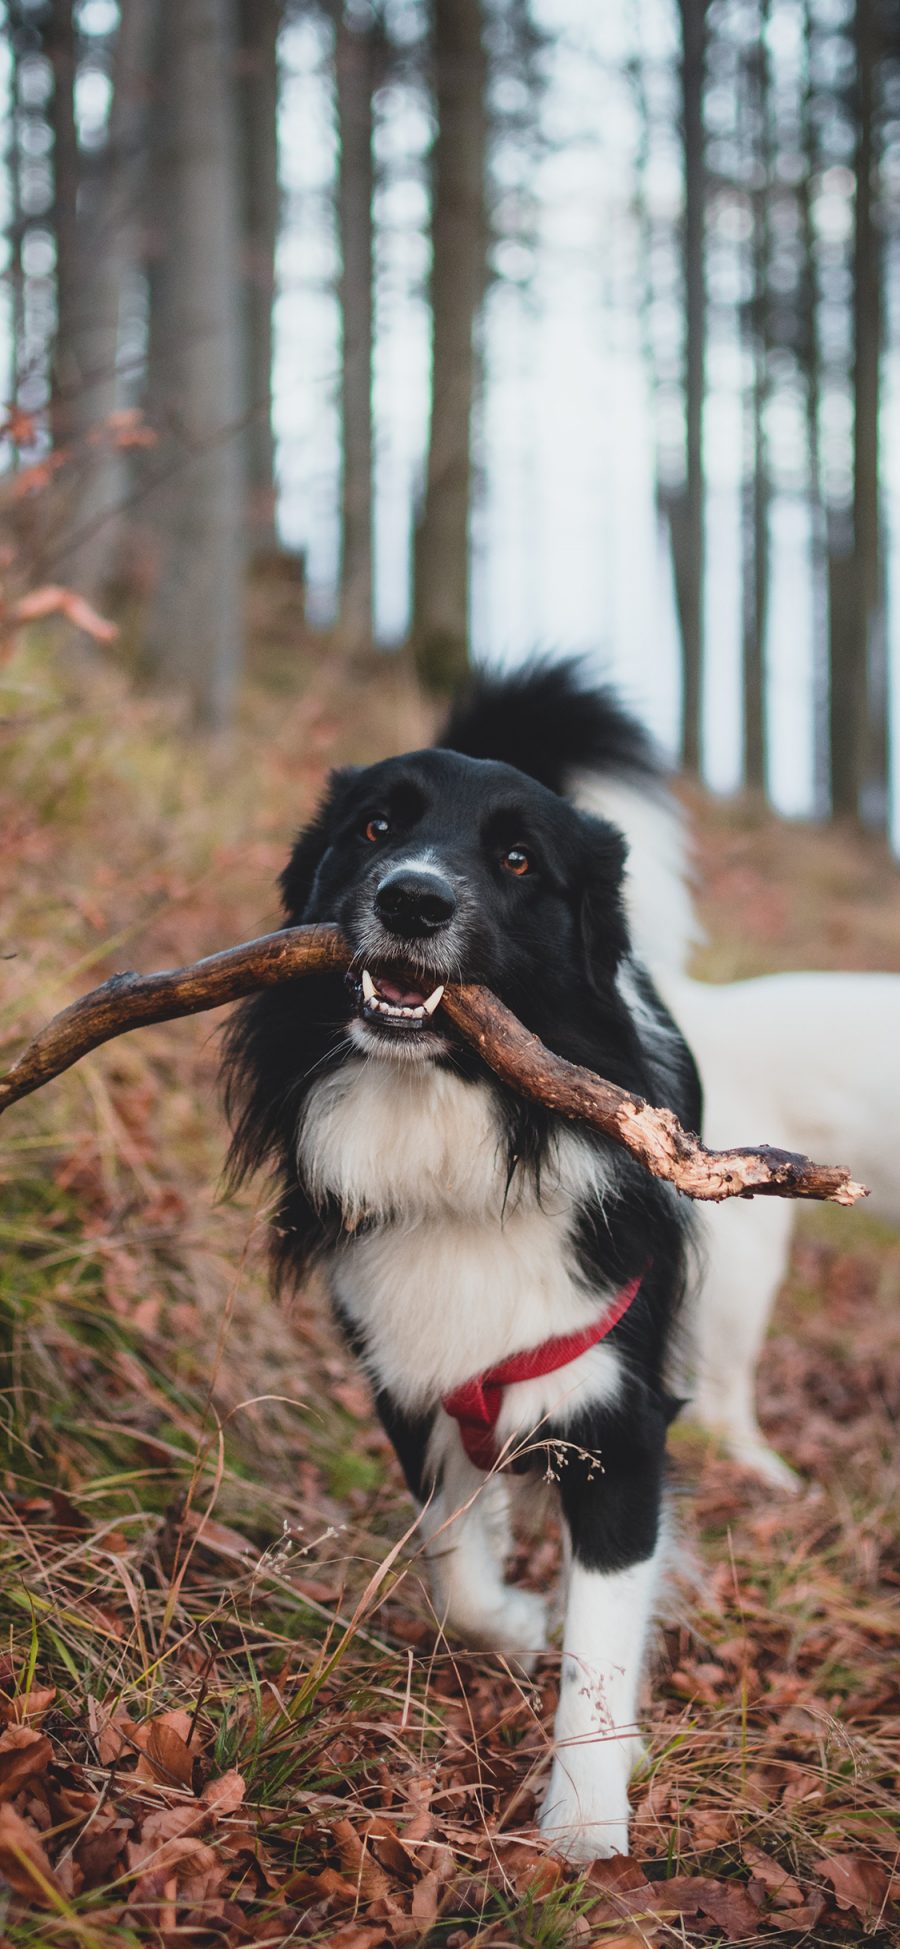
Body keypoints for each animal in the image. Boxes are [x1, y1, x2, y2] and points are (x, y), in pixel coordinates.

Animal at [221, 666, 701, 1855]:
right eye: (375, 827)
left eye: (520, 860)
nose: (411, 901)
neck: (454, 1124)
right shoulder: (407, 1371)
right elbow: (452, 1555)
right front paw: (512, 1616)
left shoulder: (621, 1424)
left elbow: (600, 1644)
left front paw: (584, 1828)